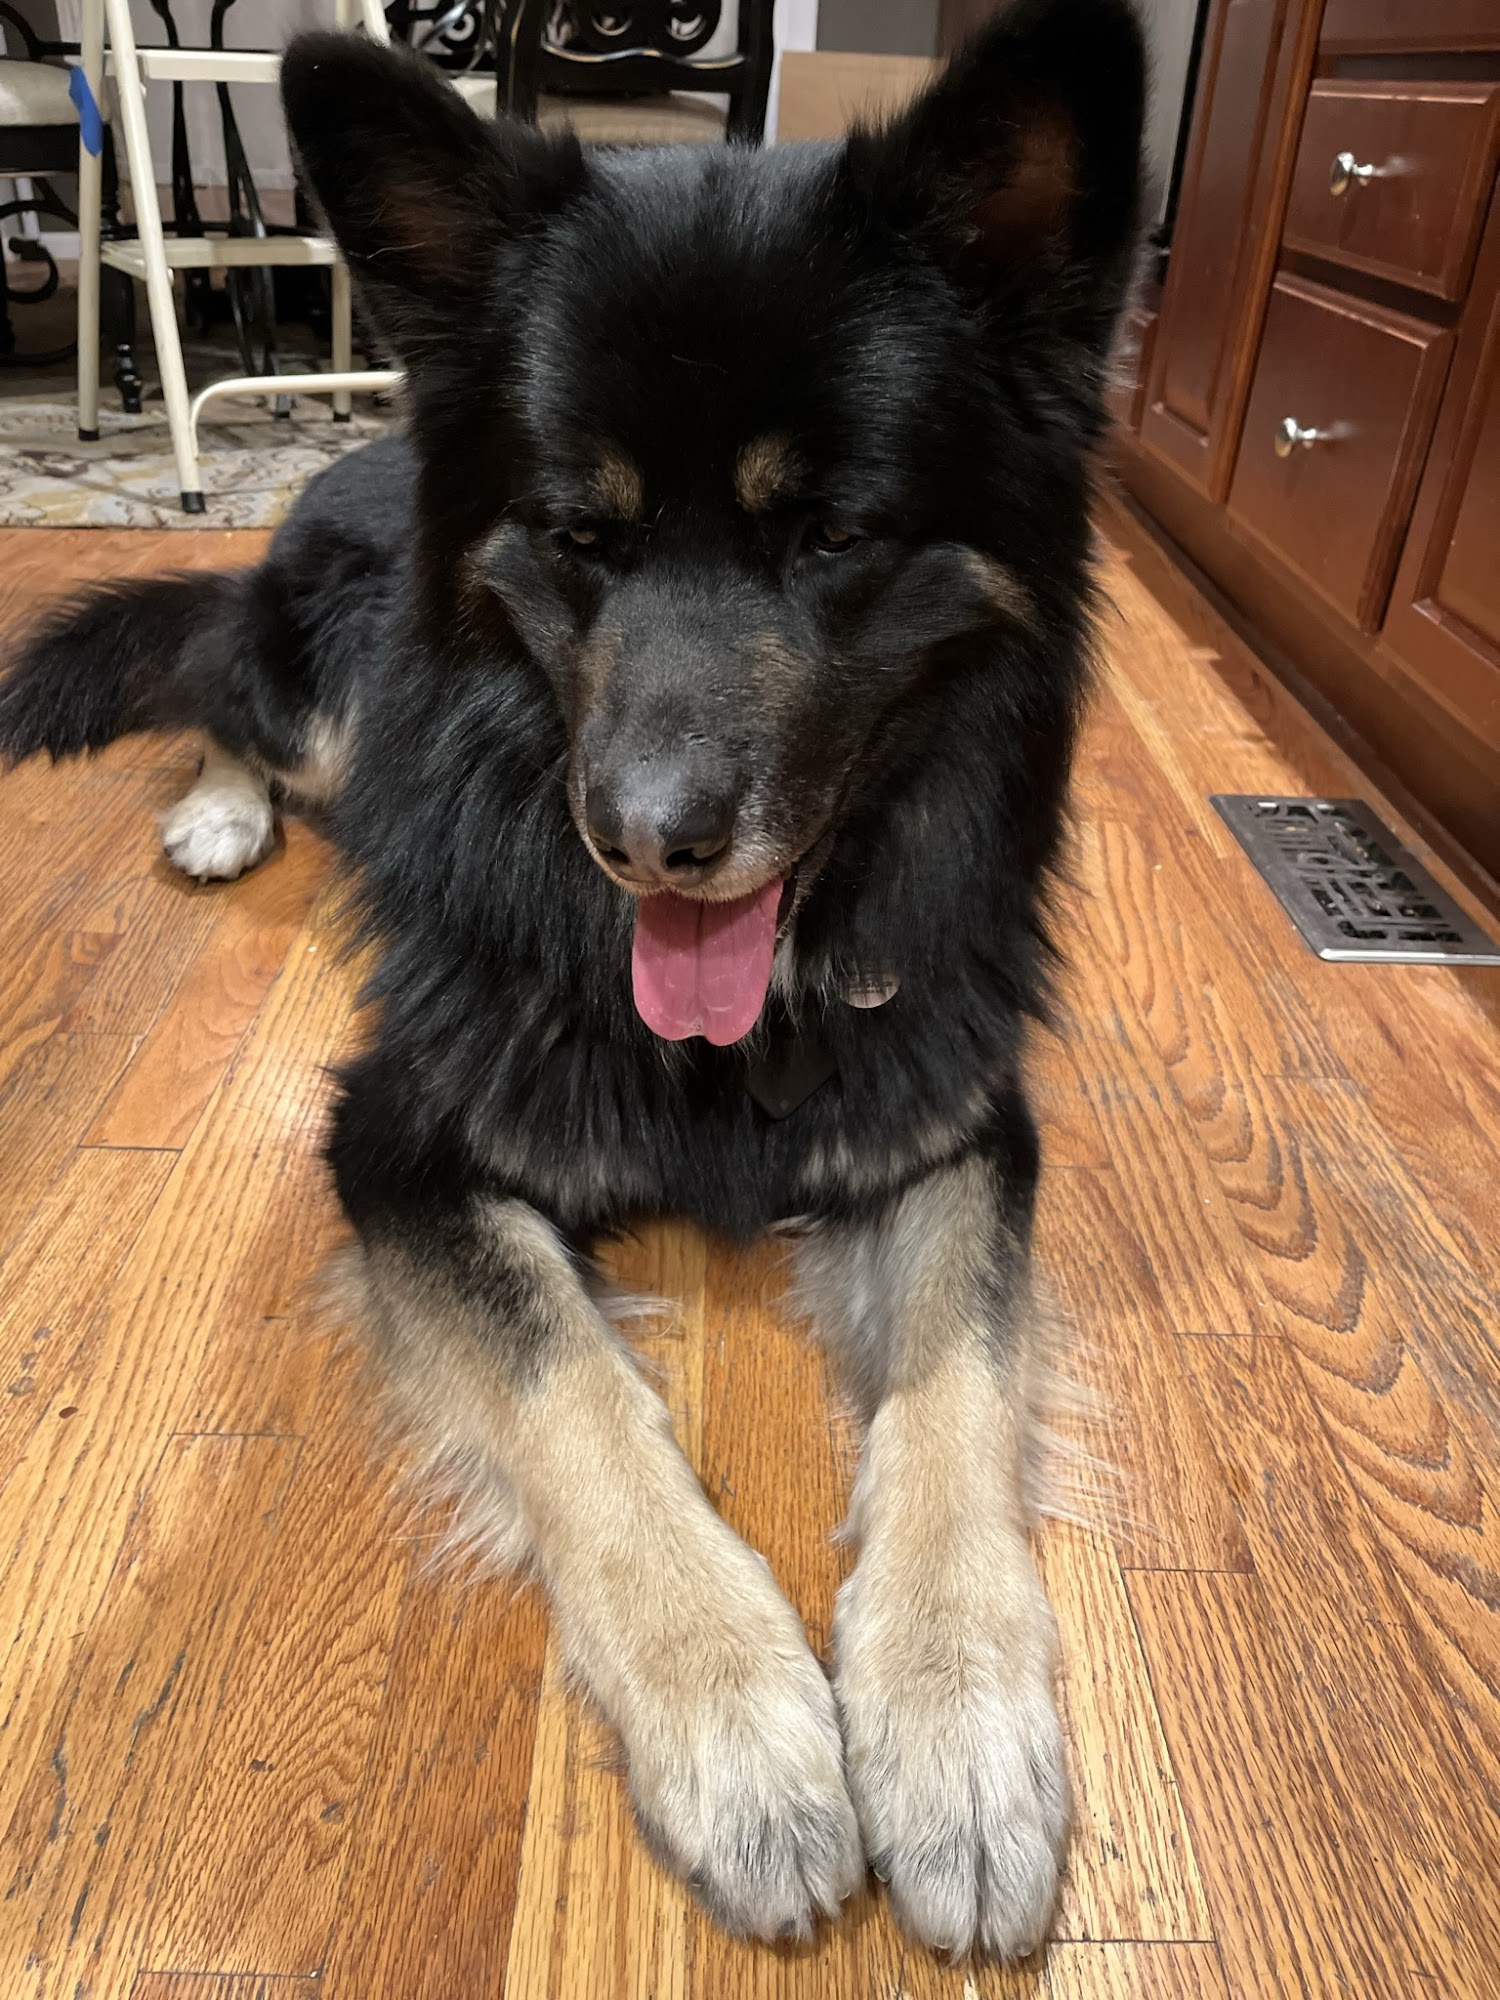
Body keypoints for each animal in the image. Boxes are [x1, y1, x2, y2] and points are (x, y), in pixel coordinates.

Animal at [0, 0, 1143, 1958]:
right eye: (577, 534)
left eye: (834, 536)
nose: (648, 843)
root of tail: (357, 447)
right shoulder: (397, 1144)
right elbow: (574, 1393)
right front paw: (742, 1723)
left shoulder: (958, 1134)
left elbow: (958, 1386)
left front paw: (959, 1718)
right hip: (323, 696)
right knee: (221, 689)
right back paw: (219, 811)